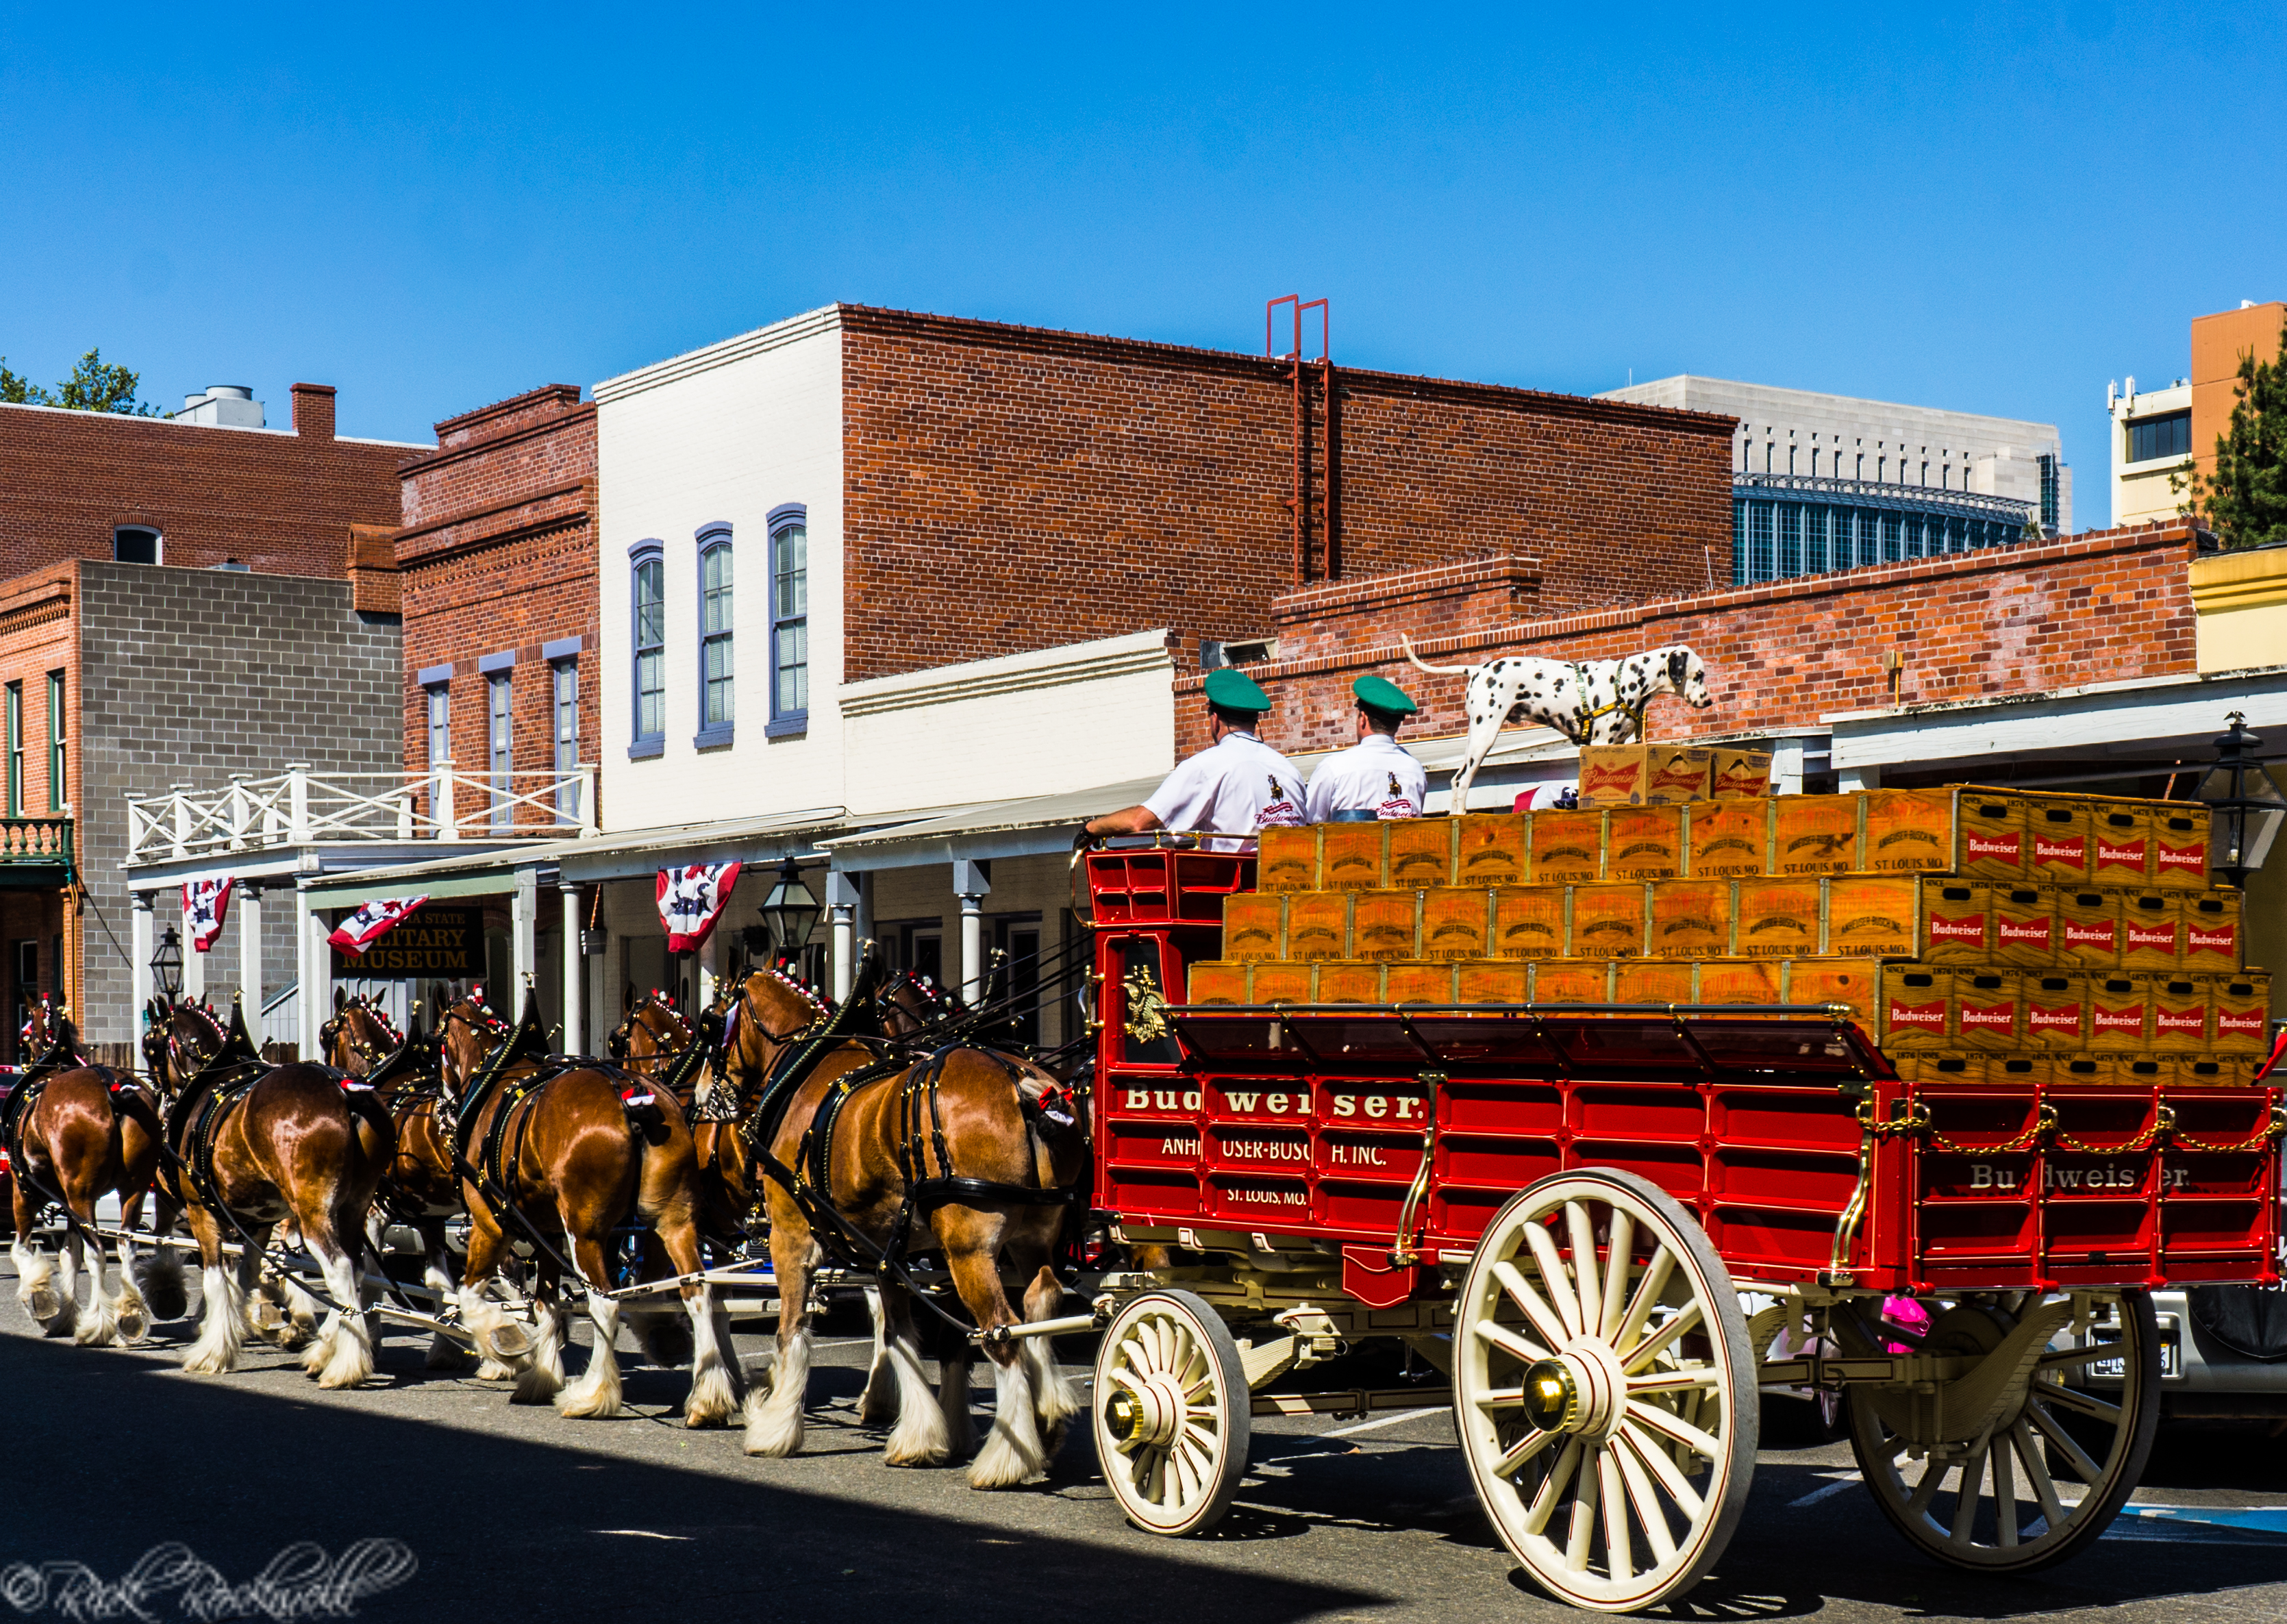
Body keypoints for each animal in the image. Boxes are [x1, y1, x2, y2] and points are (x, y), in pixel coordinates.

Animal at [3, 1006, 176, 1345]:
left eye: (25, 1036)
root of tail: (112, 1090)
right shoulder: (68, 1201)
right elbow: (70, 1253)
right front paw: (66, 1315)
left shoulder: (24, 1189)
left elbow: (22, 1249)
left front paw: (41, 1300)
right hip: (133, 1189)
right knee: (126, 1245)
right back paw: (130, 1314)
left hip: (79, 1192)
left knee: (97, 1252)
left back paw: (98, 1324)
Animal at [161, 997, 395, 1390]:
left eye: (153, 1040)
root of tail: (345, 1088)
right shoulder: (256, 1222)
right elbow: (246, 1274)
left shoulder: (200, 1211)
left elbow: (216, 1279)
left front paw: (213, 1349)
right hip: (353, 1207)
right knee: (358, 1266)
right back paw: (327, 1348)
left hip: (313, 1212)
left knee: (340, 1269)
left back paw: (344, 1366)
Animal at [436, 992, 732, 1427]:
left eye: (437, 1043)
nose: (443, 1108)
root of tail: (631, 1095)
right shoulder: (547, 1234)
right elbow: (546, 1303)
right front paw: (541, 1378)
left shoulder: (491, 1224)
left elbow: (470, 1295)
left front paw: (504, 1340)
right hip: (672, 1221)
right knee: (697, 1292)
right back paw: (707, 1398)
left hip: (586, 1232)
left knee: (606, 1303)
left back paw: (593, 1395)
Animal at [727, 965, 1093, 1491]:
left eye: (716, 1020)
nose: (707, 1096)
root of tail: (1024, 1085)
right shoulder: (889, 1251)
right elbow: (904, 1335)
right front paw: (926, 1436)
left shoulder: (790, 1237)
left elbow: (792, 1328)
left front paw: (774, 1428)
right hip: (1032, 1239)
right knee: (1040, 1305)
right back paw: (1045, 1423)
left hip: (970, 1249)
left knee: (1002, 1332)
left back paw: (1006, 1458)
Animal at [1390, 640, 1719, 810]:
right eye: (1699, 674)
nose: (1709, 701)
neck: (1628, 682)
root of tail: (1477, 668)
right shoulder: (1599, 744)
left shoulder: (1616, 745)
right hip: (1485, 736)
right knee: (1461, 781)